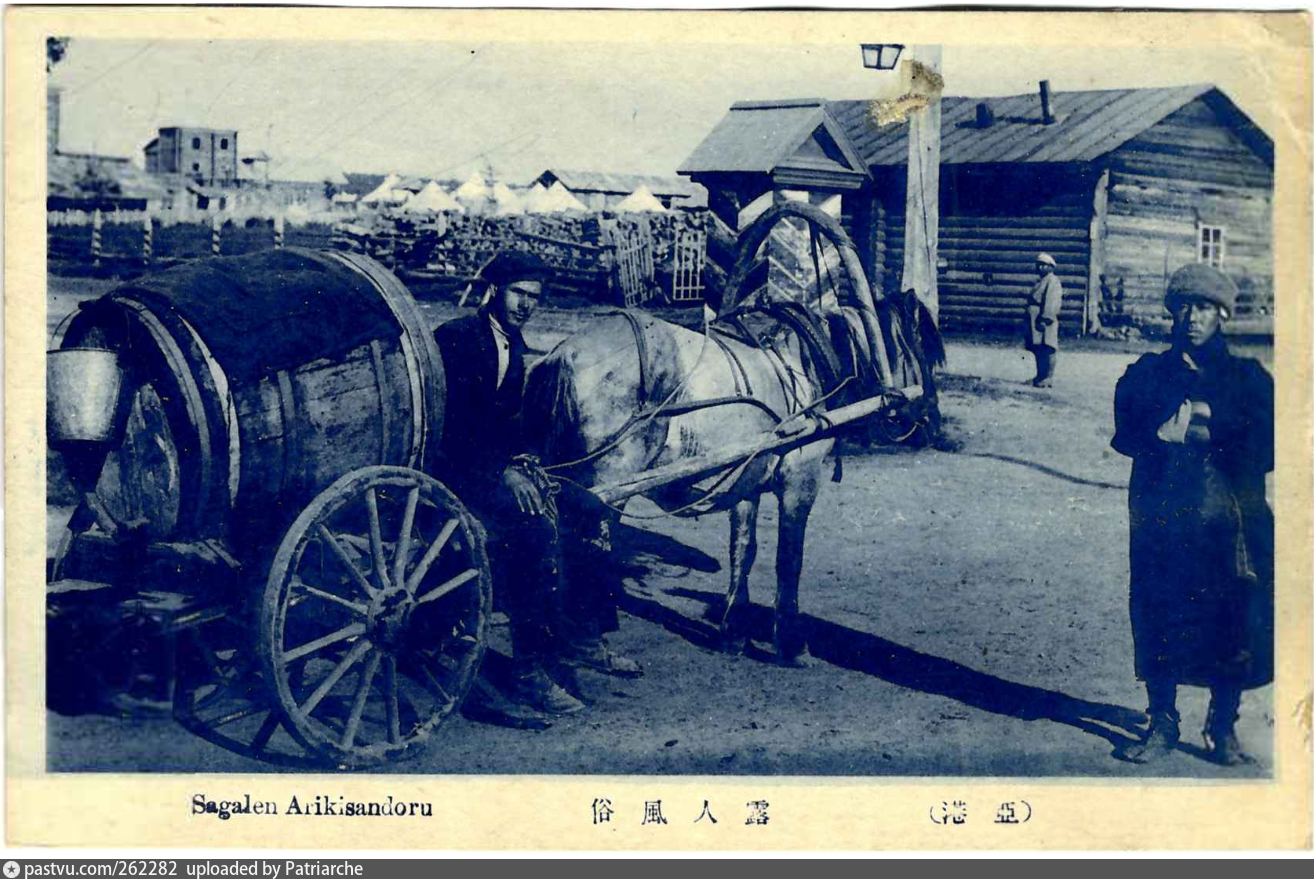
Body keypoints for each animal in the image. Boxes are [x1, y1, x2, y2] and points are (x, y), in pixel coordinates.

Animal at [522, 277, 946, 662]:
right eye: (923, 353)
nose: (934, 424)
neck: (803, 367)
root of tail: (563, 353)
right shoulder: (800, 481)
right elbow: (789, 558)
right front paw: (790, 643)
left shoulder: (747, 481)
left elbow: (744, 549)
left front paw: (733, 631)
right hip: (608, 480)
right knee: (587, 543)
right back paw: (589, 638)